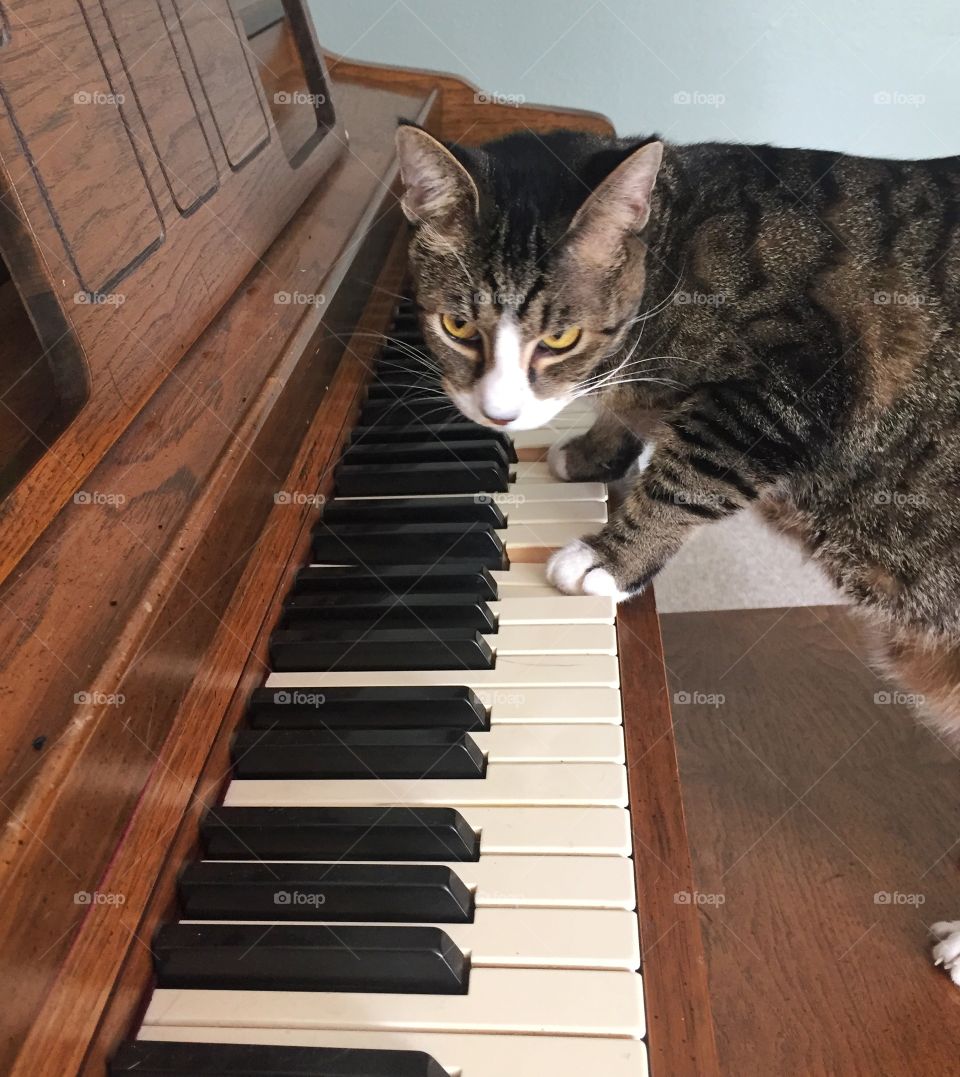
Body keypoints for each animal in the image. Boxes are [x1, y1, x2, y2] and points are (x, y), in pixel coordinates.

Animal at [394, 122, 960, 986]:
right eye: (458, 328)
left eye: (558, 337)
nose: (500, 414)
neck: (671, 257)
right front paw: (593, 447)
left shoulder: (791, 385)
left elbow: (687, 472)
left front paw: (607, 557)